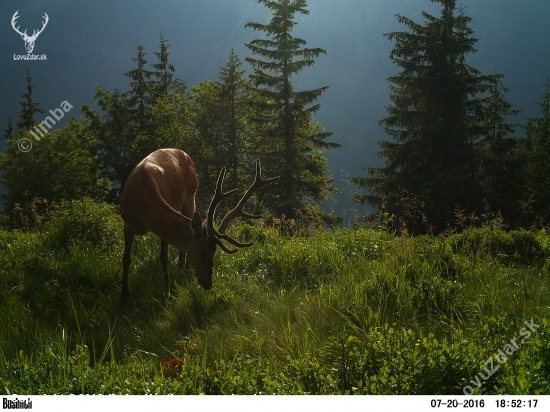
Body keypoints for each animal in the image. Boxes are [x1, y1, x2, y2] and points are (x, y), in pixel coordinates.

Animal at [119, 150, 278, 304]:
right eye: (204, 253)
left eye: (214, 252)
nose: (208, 284)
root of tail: (184, 154)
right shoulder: (127, 223)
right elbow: (126, 258)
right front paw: (125, 295)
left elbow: (164, 257)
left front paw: (166, 288)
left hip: (191, 196)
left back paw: (185, 270)